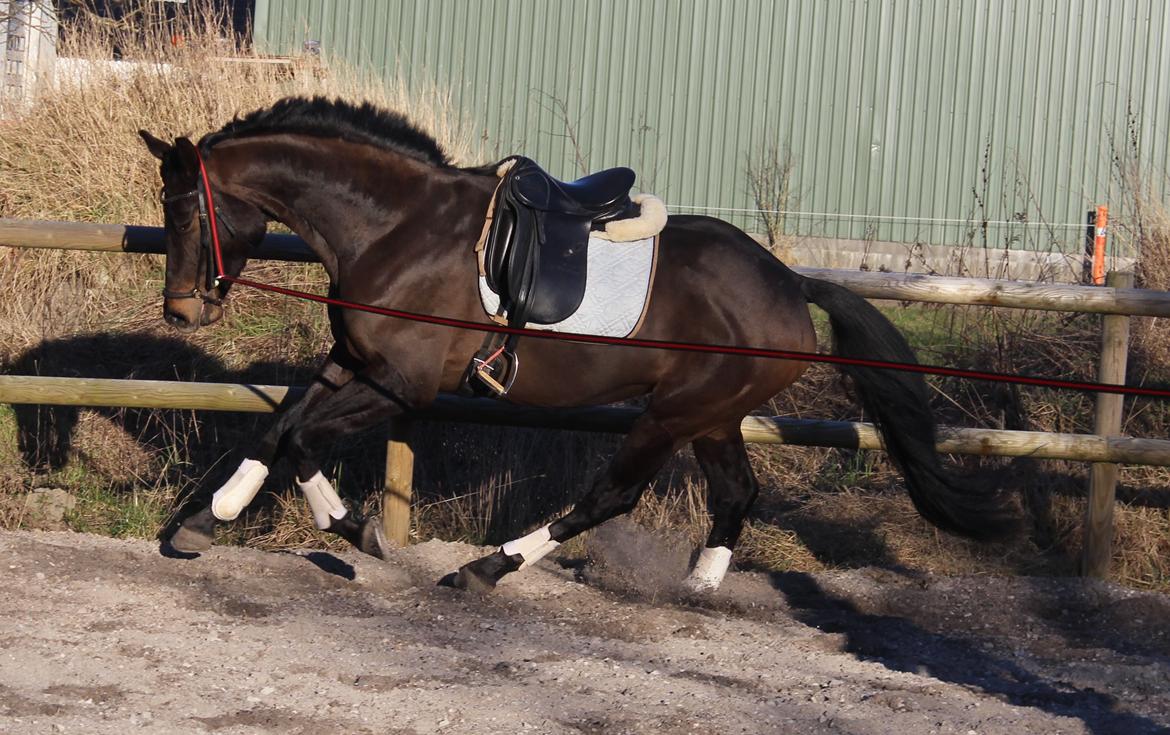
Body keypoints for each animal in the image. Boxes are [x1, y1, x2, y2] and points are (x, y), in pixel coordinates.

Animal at [139, 95, 1015, 592]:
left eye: (183, 210)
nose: (181, 311)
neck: (397, 226)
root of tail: (789, 284)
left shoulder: (402, 382)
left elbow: (303, 437)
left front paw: (359, 533)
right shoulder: (355, 360)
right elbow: (282, 422)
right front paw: (209, 518)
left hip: (672, 414)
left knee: (610, 496)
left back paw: (484, 568)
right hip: (712, 415)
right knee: (737, 493)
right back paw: (698, 585)